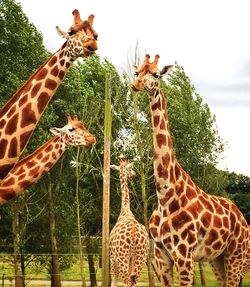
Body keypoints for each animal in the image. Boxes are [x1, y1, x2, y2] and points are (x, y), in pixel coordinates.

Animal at [109, 158, 148, 287]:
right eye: (131, 168)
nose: (134, 173)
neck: (125, 210)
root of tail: (134, 235)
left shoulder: (112, 256)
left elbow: (114, 281)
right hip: (141, 256)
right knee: (133, 281)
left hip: (122, 257)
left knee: (126, 281)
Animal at [132, 54, 249, 287]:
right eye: (137, 72)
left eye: (156, 74)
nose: (136, 84)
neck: (164, 194)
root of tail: (243, 219)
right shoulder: (161, 254)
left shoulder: (184, 254)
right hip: (217, 258)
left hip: (236, 254)